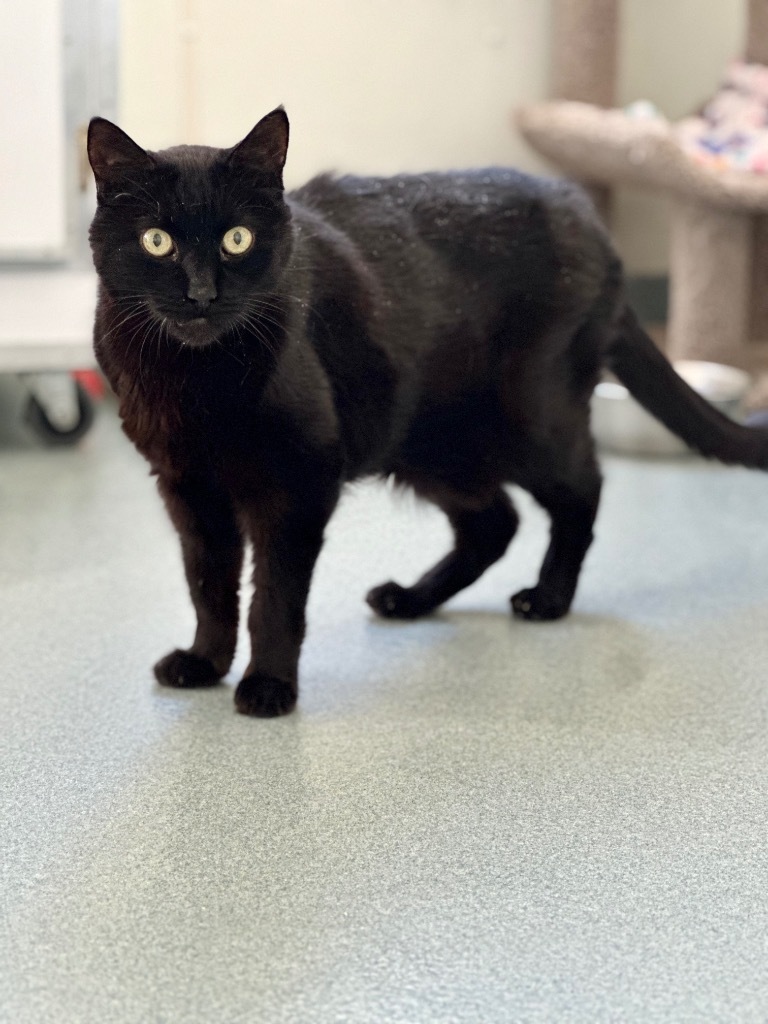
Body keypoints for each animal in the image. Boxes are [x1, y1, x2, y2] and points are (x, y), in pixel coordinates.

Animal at [85, 108, 768, 716]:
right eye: (156, 242)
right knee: (494, 523)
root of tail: (587, 217)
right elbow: (208, 586)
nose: (201, 293)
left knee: (582, 491)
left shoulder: (301, 480)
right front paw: (204, 662)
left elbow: (274, 596)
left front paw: (268, 686)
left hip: (531, 417)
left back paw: (548, 599)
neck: (193, 378)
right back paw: (411, 600)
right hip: (428, 445)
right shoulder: (188, 487)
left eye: (237, 239)